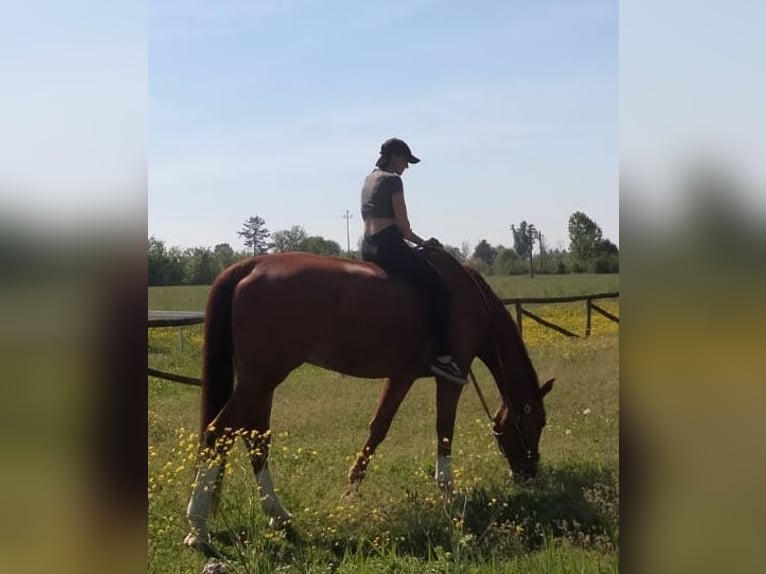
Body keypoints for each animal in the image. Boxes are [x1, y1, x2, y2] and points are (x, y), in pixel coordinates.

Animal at [184, 249, 554, 556]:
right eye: (537, 422)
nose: (530, 473)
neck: (469, 295)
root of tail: (252, 264)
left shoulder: (402, 375)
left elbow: (379, 428)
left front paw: (352, 488)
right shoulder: (453, 375)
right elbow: (444, 429)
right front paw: (448, 490)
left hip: (261, 382)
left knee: (255, 437)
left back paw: (277, 514)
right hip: (261, 379)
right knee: (218, 433)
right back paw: (198, 529)